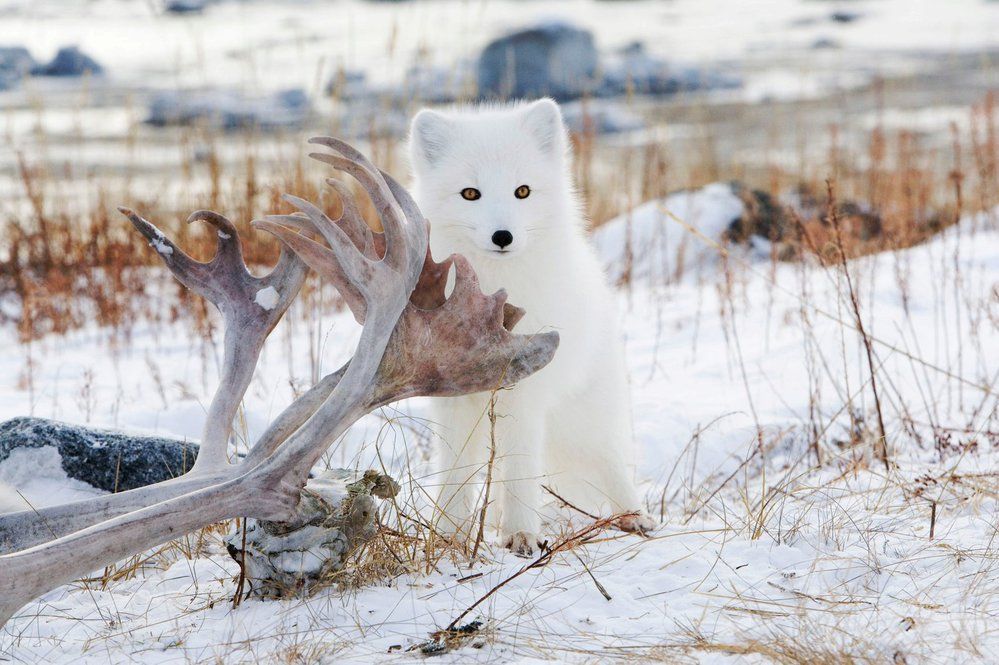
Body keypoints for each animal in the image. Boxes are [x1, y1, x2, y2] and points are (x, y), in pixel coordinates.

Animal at [408, 97, 652, 556]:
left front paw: (521, 535)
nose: (502, 236)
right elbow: (456, 473)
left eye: (522, 191)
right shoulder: (453, 398)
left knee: (610, 459)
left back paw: (635, 516)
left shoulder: (524, 392)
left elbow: (521, 469)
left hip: (580, 419)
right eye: (471, 193)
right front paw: (448, 537)